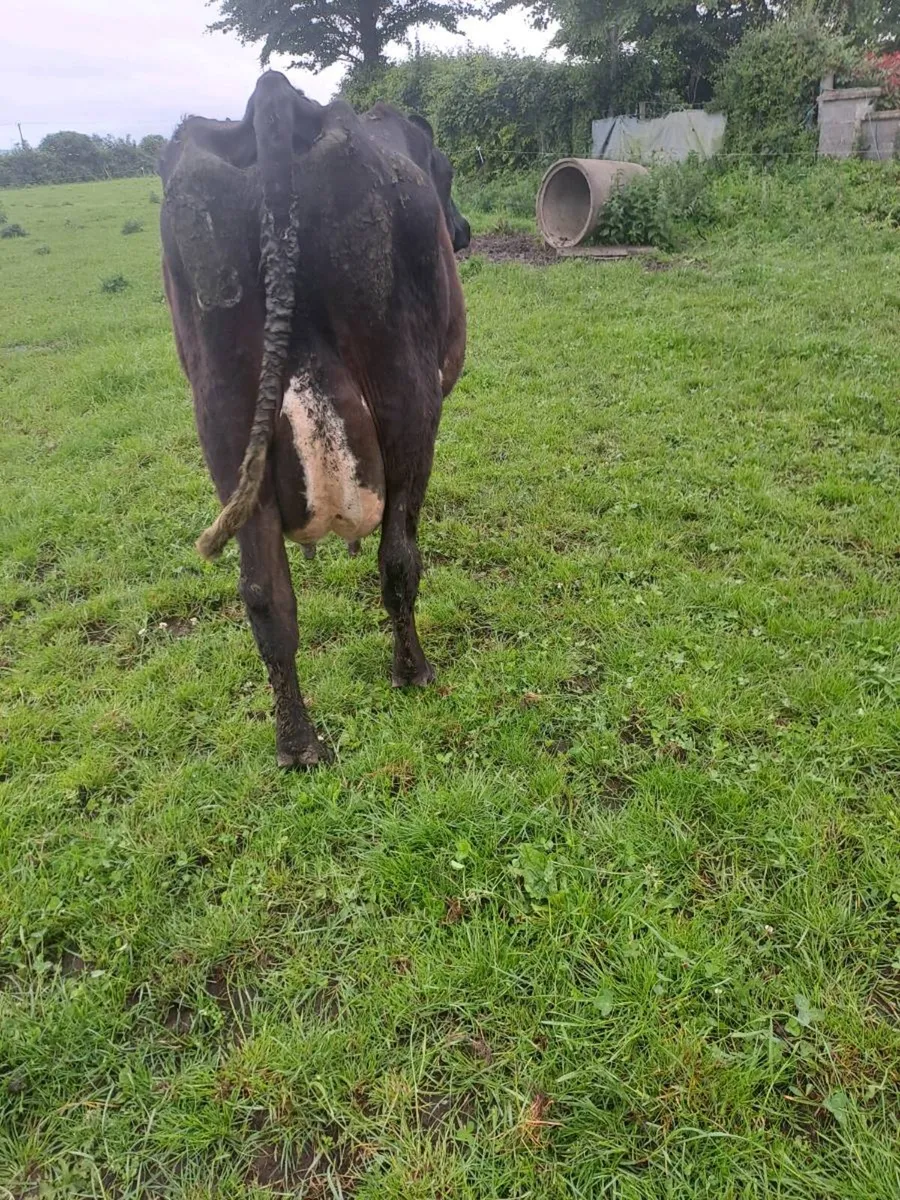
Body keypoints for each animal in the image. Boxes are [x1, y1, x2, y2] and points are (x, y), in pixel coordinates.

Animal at [159, 71, 467, 768]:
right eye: (449, 173)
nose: (461, 229)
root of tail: (275, 97)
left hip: (223, 417)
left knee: (264, 594)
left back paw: (298, 744)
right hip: (409, 397)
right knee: (399, 556)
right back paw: (414, 672)